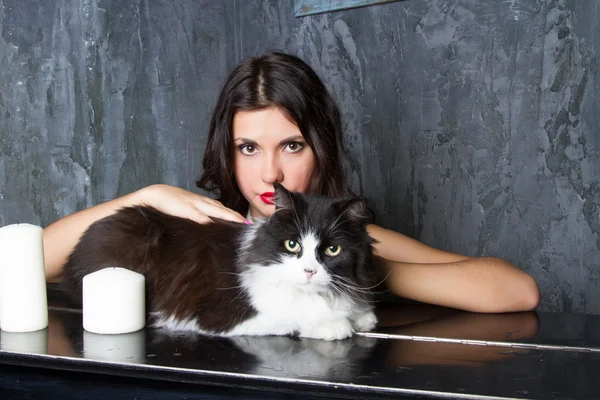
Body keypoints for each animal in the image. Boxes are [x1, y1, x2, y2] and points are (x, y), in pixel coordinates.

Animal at [62, 183, 380, 340]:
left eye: (332, 250)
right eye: (293, 245)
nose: (310, 271)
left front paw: (361, 317)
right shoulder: (218, 317)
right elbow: (298, 315)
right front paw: (334, 325)